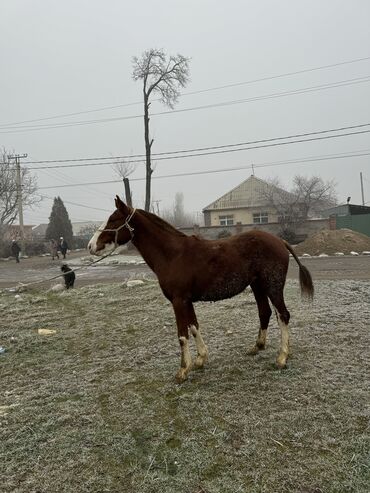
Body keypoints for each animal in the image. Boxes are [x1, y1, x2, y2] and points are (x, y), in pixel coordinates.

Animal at [89, 196, 312, 380]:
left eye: (113, 220)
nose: (91, 246)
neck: (173, 254)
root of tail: (281, 241)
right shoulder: (186, 301)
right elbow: (194, 326)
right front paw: (200, 359)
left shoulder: (178, 301)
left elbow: (182, 334)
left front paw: (183, 370)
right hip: (257, 286)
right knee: (265, 312)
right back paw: (257, 347)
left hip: (273, 286)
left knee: (283, 315)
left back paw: (282, 357)